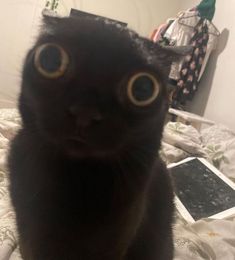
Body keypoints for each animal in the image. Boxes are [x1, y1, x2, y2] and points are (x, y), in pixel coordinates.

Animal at [8, 16, 179, 260]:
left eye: (143, 88)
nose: (85, 111)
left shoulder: (115, 243)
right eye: (50, 60)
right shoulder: (30, 241)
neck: (78, 181)